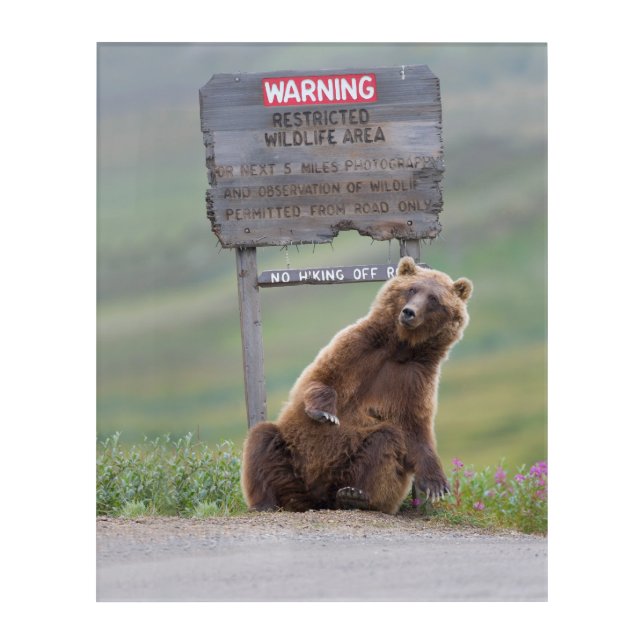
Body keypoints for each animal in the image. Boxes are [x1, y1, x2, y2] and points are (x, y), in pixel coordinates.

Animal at [241, 256, 473, 514]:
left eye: (434, 299)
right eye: (411, 289)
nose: (409, 312)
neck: (399, 348)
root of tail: (316, 499)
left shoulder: (414, 377)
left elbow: (414, 426)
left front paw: (436, 483)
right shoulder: (358, 346)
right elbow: (320, 377)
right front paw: (326, 413)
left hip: (347, 465)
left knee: (385, 440)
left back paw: (355, 495)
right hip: (292, 453)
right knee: (263, 440)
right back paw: (265, 502)